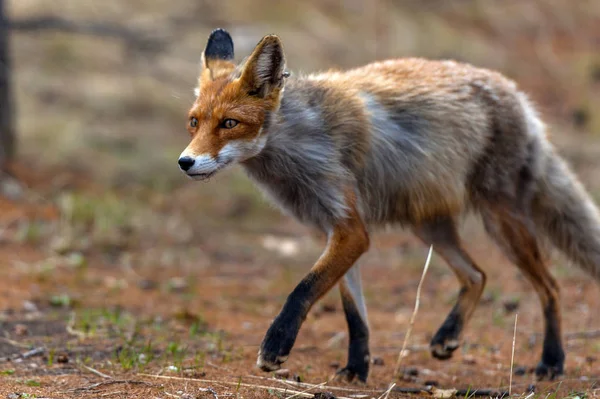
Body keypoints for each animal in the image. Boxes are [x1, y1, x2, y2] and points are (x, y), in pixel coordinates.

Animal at [178, 28, 600, 384]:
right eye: (194, 122)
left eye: (229, 123)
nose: (185, 162)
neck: (299, 139)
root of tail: (519, 97)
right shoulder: (336, 229)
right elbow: (354, 315)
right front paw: (356, 369)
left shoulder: (351, 231)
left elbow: (303, 289)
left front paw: (276, 346)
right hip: (428, 225)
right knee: (477, 275)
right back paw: (448, 336)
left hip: (500, 221)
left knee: (551, 287)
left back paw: (552, 361)